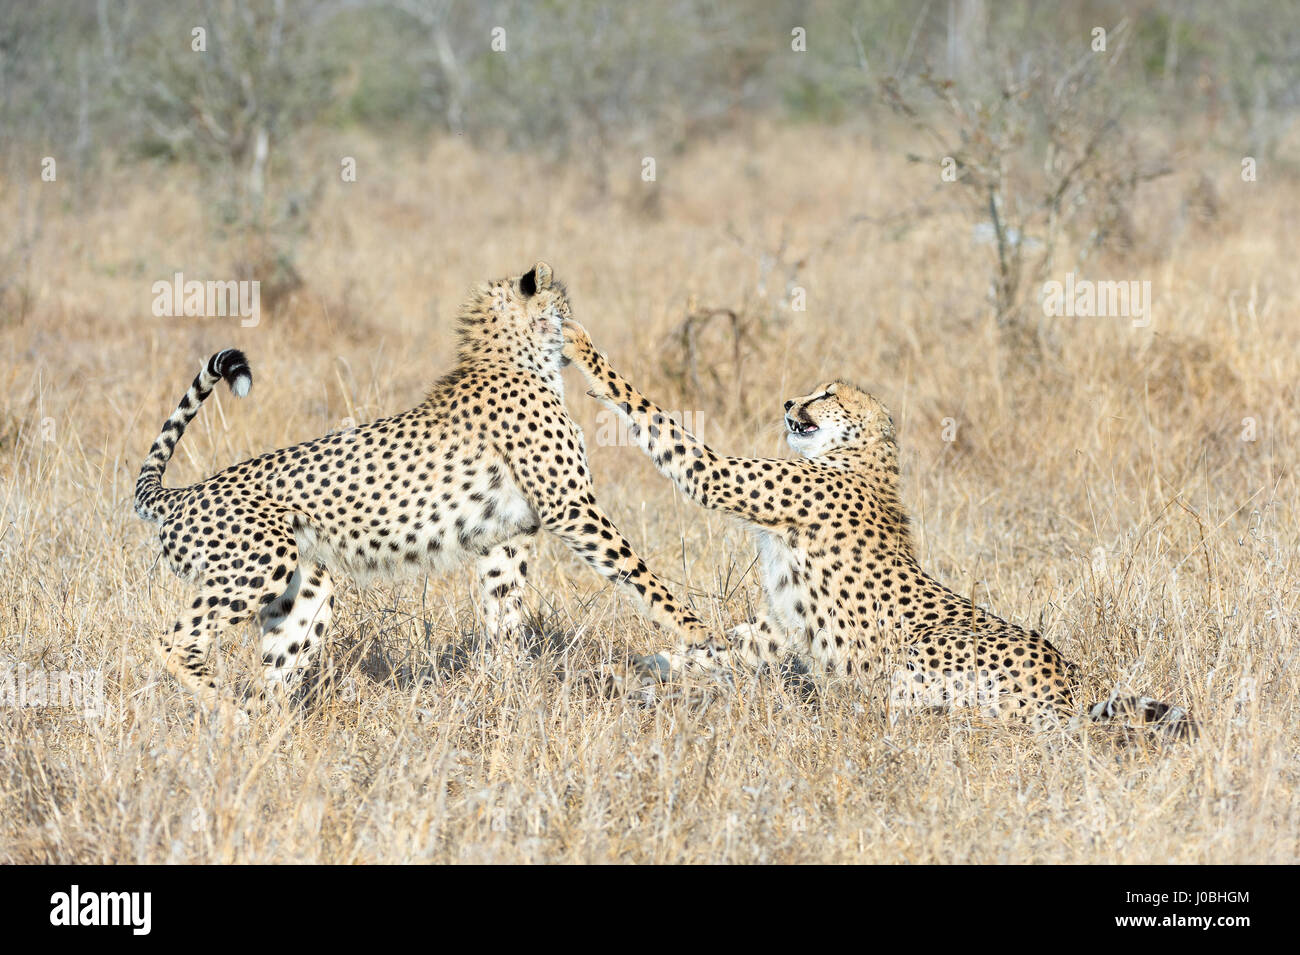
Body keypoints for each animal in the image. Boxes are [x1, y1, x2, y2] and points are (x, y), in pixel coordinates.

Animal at [133, 262, 721, 713]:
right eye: (562, 303)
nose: (578, 326)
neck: (514, 357)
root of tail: (180, 493)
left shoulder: (506, 538)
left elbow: (505, 615)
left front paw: (509, 686)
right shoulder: (571, 508)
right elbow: (642, 575)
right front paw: (698, 634)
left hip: (306, 591)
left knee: (275, 670)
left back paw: (266, 731)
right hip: (258, 565)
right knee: (172, 642)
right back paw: (228, 709)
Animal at [562, 319, 1194, 739]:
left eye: (826, 394)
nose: (788, 400)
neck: (858, 458)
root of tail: (1072, 684)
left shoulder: (718, 477)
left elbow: (658, 421)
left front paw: (581, 350)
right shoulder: (778, 627)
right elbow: (715, 645)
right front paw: (624, 671)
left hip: (927, 646)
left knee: (917, 704)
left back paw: (852, 704)